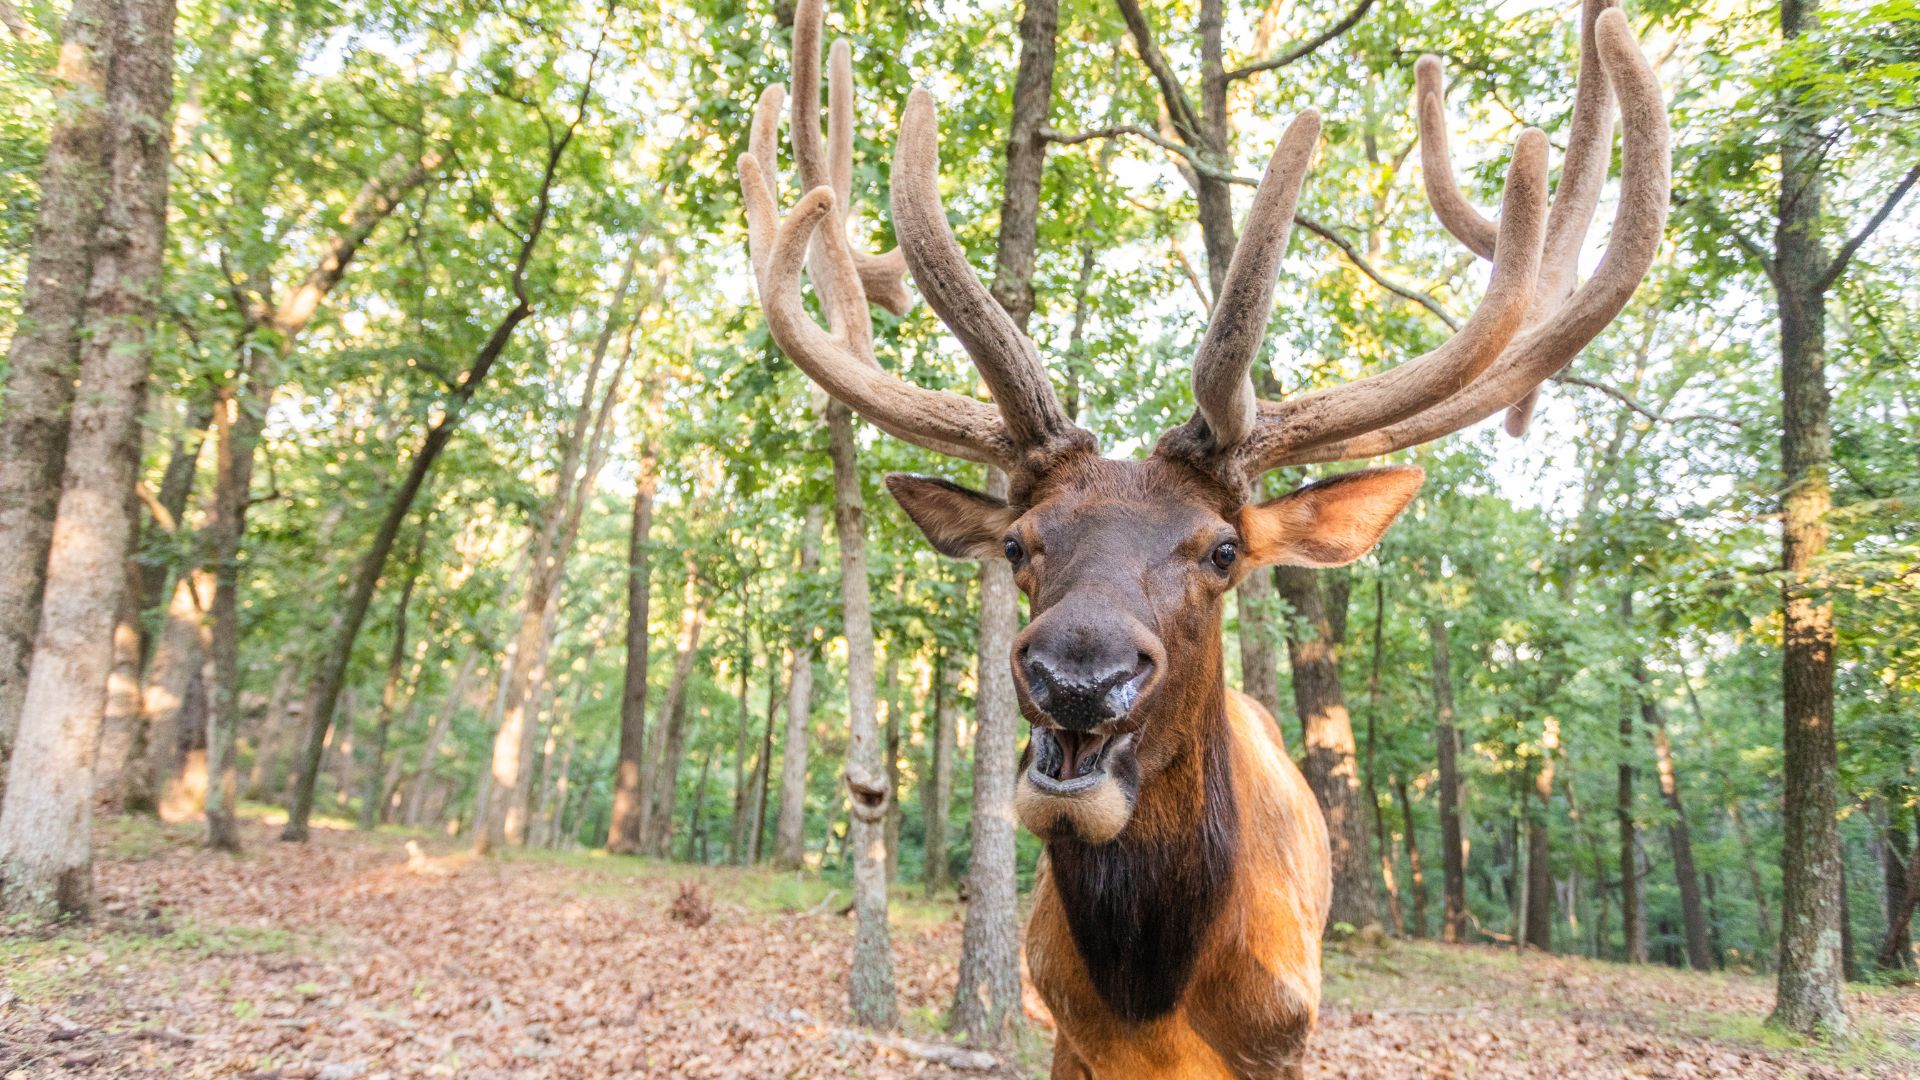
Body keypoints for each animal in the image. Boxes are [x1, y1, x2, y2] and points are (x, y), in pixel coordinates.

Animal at [733, 0, 1666, 1068]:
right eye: (1018, 544)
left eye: (1223, 551)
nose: (1076, 675)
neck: (1153, 1003)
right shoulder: (1063, 1032)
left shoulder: (1286, 1038)